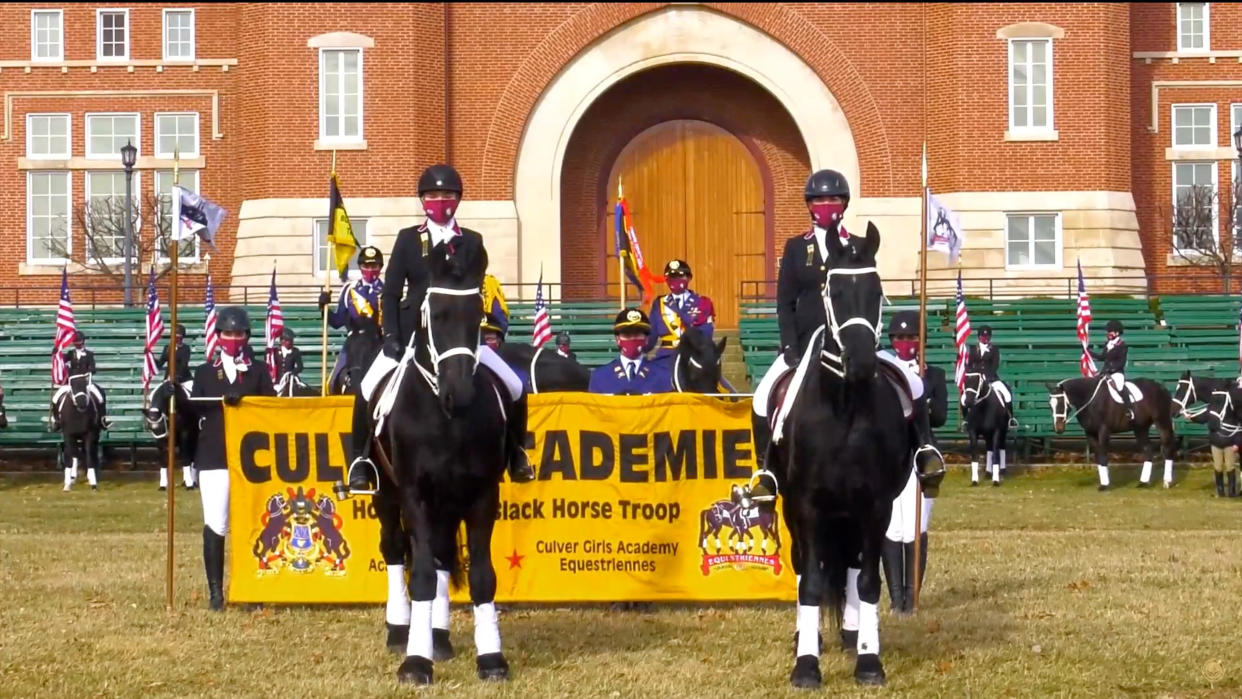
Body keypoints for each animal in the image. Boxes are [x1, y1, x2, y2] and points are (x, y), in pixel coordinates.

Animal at [365, 243, 511, 685]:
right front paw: (415, 662)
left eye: (477, 315)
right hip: (387, 494)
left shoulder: (481, 494)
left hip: (448, 502)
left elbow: (481, 576)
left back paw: (440, 638)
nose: (458, 394)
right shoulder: (415, 494)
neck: (446, 419)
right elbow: (423, 576)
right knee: (395, 549)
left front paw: (491, 659)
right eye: (434, 314)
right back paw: (400, 632)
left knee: (444, 555)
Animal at [765, 224, 914, 690]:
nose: (861, 363)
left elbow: (866, 582)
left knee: (851, 564)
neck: (844, 405)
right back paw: (805, 636)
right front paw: (806, 666)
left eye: (877, 290)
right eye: (832, 289)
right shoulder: (808, 505)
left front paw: (868, 660)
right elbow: (810, 582)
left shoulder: (875, 506)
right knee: (802, 567)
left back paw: (850, 635)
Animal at [1043, 377, 1177, 491]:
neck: (1090, 399)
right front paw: (1104, 480)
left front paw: (1105, 485)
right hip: (1140, 428)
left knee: (1168, 448)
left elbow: (1103, 454)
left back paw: (1167, 482)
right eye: (1050, 405)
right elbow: (1098, 455)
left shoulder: (1104, 430)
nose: (1058, 428)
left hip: (1162, 422)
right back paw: (1143, 483)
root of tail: (1162, 388)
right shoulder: (1090, 433)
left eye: (1061, 403)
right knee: (1147, 449)